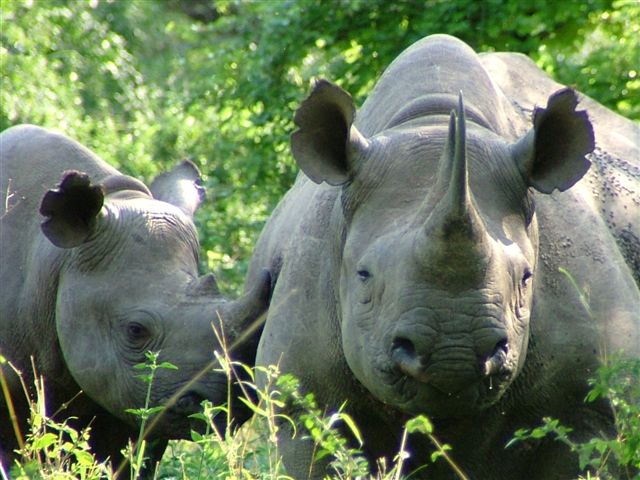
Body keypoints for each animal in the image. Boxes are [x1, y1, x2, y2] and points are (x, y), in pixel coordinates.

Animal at [246, 34, 640, 479]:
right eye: (363, 275)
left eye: (526, 277)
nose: (455, 351)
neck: (429, 120)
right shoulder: (302, 401)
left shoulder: (588, 407)